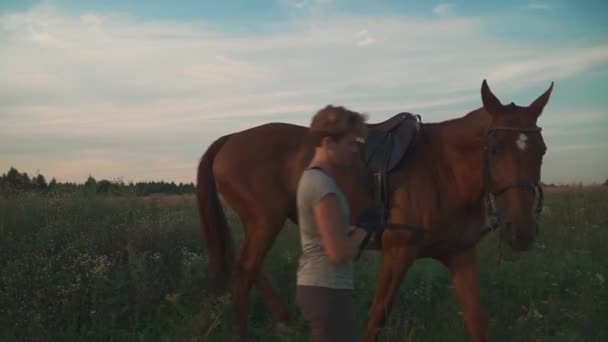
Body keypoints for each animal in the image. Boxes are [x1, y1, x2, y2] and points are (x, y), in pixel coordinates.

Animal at [197, 79, 552, 340]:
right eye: (494, 149)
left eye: (542, 150)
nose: (522, 231)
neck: (442, 168)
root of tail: (230, 138)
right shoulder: (398, 253)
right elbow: (378, 316)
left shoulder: (460, 255)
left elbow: (477, 321)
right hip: (264, 221)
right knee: (245, 270)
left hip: (262, 223)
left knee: (248, 266)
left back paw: (285, 319)